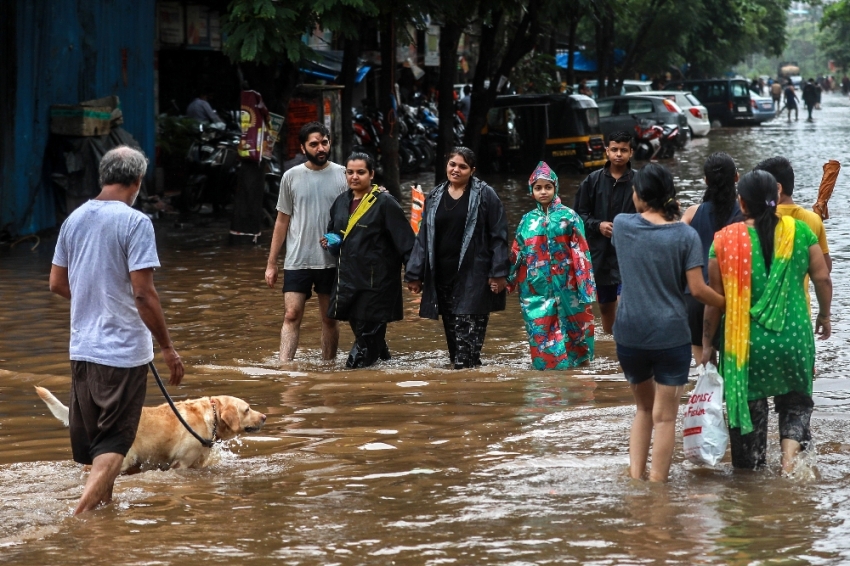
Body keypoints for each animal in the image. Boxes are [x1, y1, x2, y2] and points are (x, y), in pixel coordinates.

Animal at [35, 386, 264, 474]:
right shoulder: (181, 463)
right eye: (247, 409)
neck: (212, 415)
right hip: (123, 459)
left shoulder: (197, 463)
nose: (264, 417)